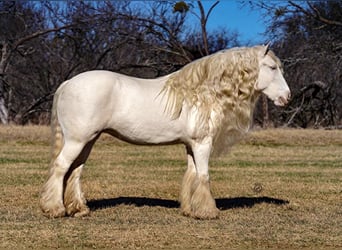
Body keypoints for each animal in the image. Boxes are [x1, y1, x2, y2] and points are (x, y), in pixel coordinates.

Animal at [40, 45, 292, 219]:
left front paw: (190, 210)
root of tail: (68, 83)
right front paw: (208, 212)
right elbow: (203, 176)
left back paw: (79, 209)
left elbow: (191, 175)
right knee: (61, 167)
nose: (287, 97)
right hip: (77, 140)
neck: (202, 92)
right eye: (272, 67)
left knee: (75, 171)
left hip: (88, 141)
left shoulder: (191, 145)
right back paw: (54, 209)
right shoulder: (203, 143)